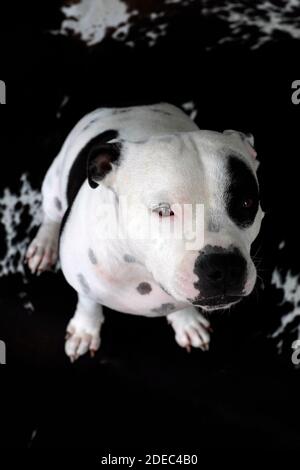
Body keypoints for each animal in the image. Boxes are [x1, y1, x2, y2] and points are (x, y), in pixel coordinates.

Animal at [26, 103, 264, 360]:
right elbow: (88, 303)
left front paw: (187, 322)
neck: (141, 270)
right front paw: (85, 331)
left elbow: (182, 306)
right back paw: (44, 246)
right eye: (163, 211)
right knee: (50, 215)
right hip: (53, 187)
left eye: (247, 203)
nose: (225, 266)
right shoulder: (82, 282)